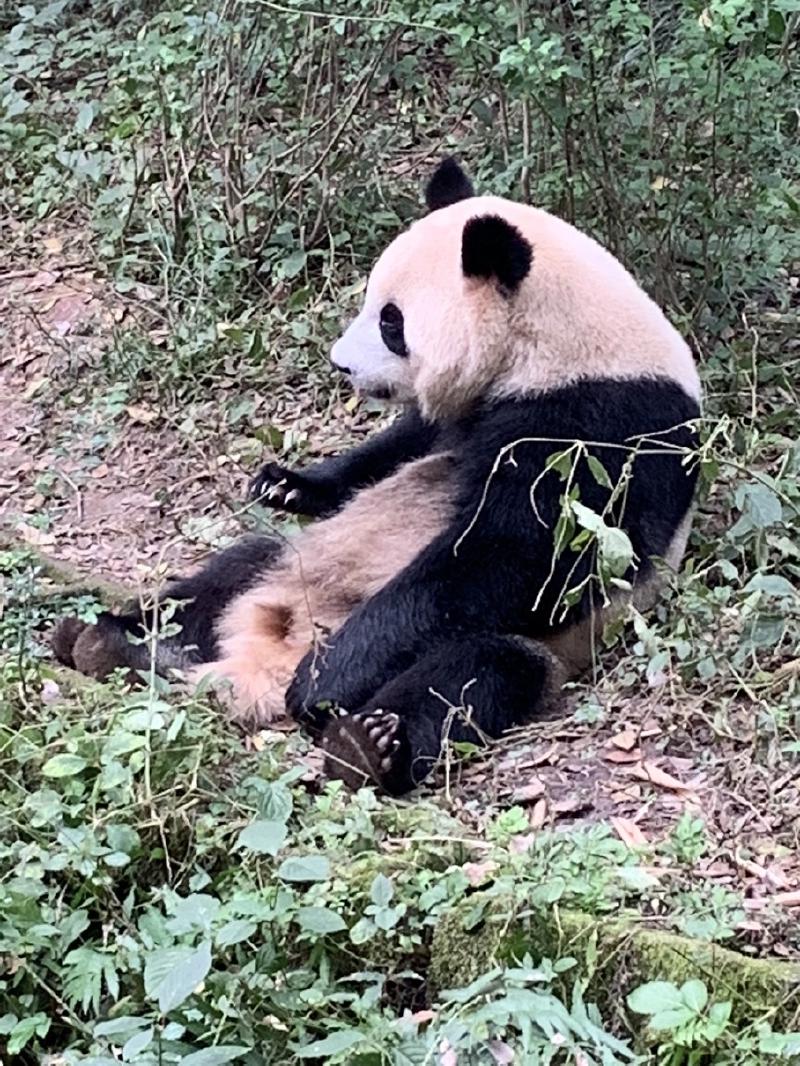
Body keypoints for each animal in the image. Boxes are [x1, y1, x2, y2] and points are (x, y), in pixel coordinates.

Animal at [52, 158, 701, 795]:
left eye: (393, 323)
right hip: (294, 561)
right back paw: (109, 639)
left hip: (528, 646)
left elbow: (525, 555)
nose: (341, 365)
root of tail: (264, 660)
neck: (554, 345)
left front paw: (325, 683)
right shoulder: (469, 411)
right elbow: (396, 449)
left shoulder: (605, 423)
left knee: (471, 671)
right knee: (223, 577)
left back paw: (362, 742)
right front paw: (286, 483)